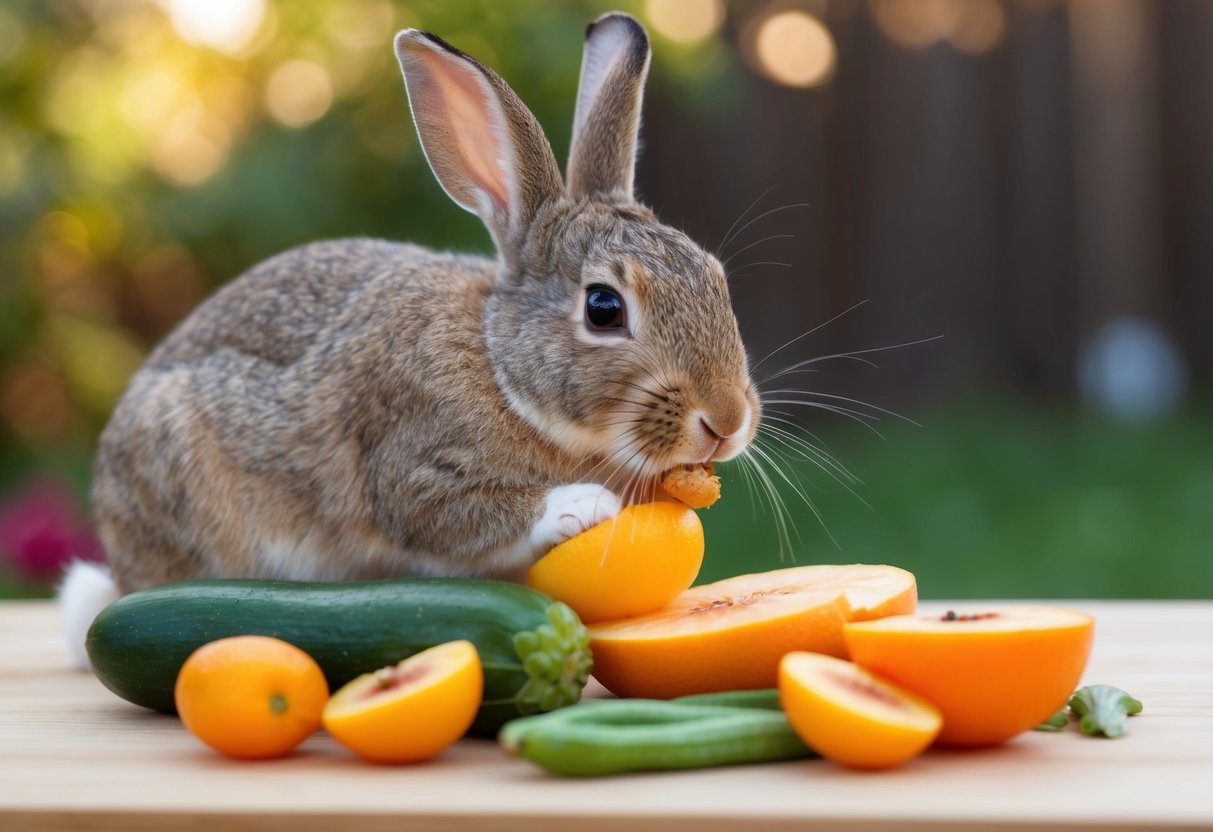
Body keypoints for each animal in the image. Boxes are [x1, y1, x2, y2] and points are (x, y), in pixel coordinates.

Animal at [61, 12, 760, 663]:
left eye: (716, 277)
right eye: (604, 308)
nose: (726, 422)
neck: (502, 372)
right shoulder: (412, 466)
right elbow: (458, 514)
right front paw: (583, 506)